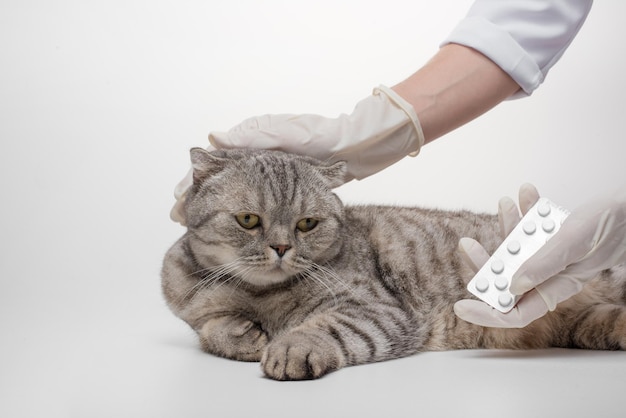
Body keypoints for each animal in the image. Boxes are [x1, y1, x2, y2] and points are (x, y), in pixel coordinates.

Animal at [162, 147, 624, 378]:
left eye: (307, 224)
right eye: (248, 220)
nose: (280, 248)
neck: (259, 296)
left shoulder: (379, 308)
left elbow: (323, 327)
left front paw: (291, 346)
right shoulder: (191, 307)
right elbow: (211, 329)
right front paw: (243, 334)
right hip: (587, 324)